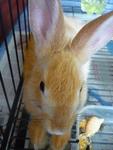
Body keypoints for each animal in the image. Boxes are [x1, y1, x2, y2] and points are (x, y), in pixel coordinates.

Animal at [23, 0, 113, 149]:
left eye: (81, 89)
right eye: (41, 86)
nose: (58, 129)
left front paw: (58, 142)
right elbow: (37, 123)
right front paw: (37, 140)